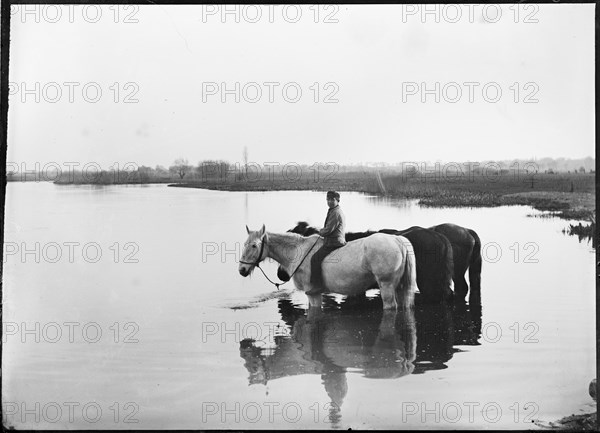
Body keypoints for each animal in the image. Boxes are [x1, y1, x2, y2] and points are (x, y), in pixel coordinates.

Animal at [239, 224, 418, 308]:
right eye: (244, 244)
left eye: (254, 245)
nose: (242, 270)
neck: (298, 252)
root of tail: (397, 239)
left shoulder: (313, 294)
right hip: (399, 287)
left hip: (386, 286)